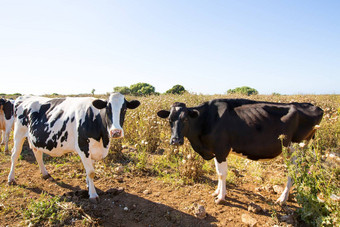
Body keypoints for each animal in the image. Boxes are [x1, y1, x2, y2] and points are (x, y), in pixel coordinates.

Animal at [8, 92, 140, 202]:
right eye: (107, 109)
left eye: (124, 109)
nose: (116, 132)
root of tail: (23, 97)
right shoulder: (83, 146)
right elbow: (91, 172)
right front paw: (93, 194)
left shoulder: (92, 149)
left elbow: (89, 171)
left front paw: (89, 186)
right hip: (18, 133)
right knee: (15, 154)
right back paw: (11, 179)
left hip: (35, 138)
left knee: (37, 153)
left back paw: (45, 174)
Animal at [158, 98, 322, 205]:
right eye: (169, 120)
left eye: (185, 119)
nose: (175, 140)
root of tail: (314, 106)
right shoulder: (216, 151)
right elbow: (218, 172)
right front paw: (217, 191)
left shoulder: (221, 150)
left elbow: (222, 174)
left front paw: (221, 197)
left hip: (295, 148)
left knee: (293, 171)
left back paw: (282, 199)